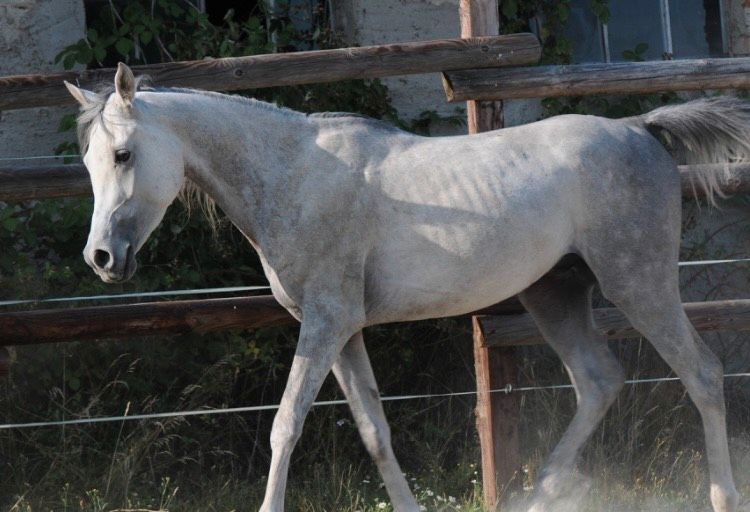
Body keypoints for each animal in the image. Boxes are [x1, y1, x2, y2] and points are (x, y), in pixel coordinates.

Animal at [67, 64, 748, 512]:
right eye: (89, 163)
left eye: (123, 154)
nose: (102, 257)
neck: (293, 174)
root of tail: (639, 127)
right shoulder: (342, 332)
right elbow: (375, 431)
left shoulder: (327, 323)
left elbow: (285, 424)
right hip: (554, 293)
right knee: (599, 380)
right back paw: (541, 494)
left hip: (639, 282)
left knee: (702, 372)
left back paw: (721, 495)